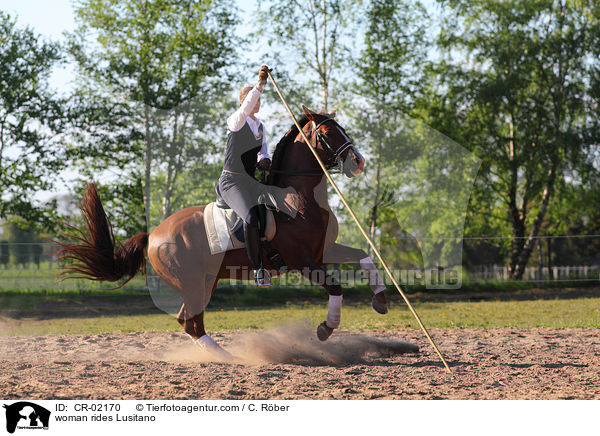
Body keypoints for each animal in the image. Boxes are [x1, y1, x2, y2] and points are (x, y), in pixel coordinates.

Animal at [59, 105, 390, 358]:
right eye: (326, 134)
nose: (358, 162)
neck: (297, 198)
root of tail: (152, 235)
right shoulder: (304, 262)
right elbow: (336, 288)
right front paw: (325, 329)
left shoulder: (324, 251)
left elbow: (364, 256)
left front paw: (381, 300)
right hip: (192, 282)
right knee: (191, 322)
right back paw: (229, 358)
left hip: (206, 281)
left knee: (189, 321)